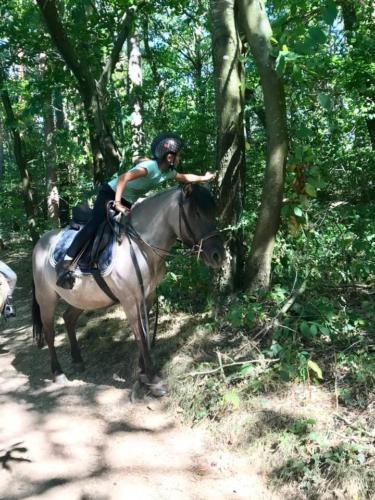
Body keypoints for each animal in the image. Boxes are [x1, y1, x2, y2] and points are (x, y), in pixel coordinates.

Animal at [31, 183, 223, 394]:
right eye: (196, 213)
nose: (218, 255)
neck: (140, 247)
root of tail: (40, 242)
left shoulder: (147, 296)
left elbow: (145, 333)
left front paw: (142, 374)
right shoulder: (129, 300)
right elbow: (140, 335)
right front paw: (153, 379)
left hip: (81, 298)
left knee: (68, 319)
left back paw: (78, 361)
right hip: (46, 298)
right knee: (49, 332)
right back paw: (58, 373)